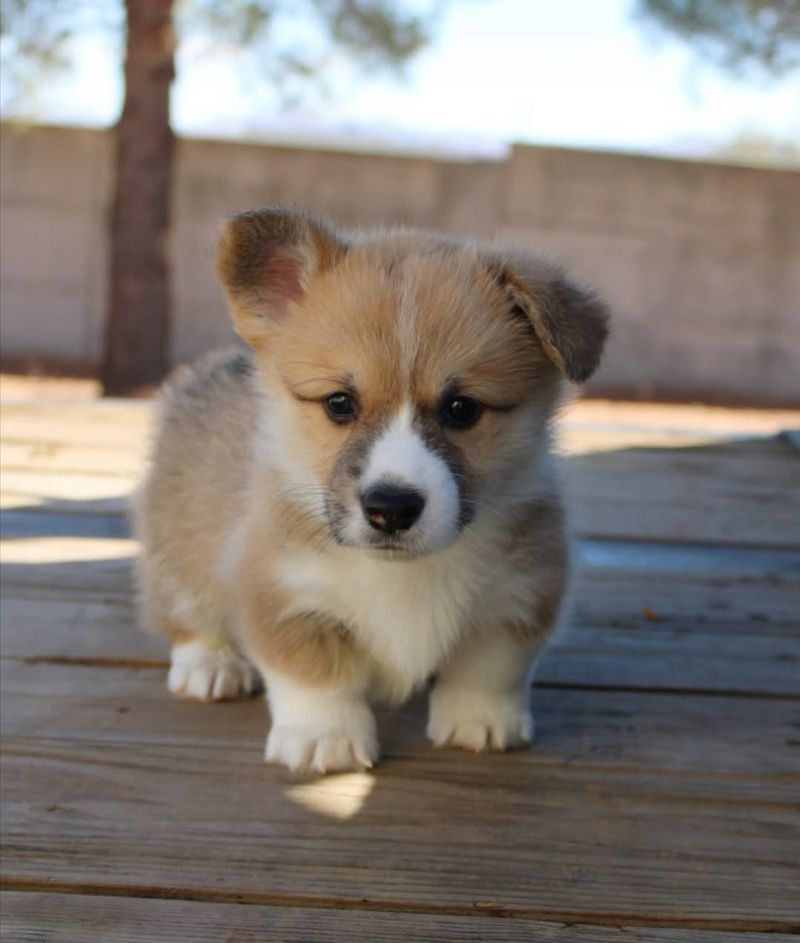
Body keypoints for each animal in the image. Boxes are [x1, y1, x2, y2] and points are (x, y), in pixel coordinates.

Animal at [134, 206, 608, 776]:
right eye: (339, 403)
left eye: (462, 409)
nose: (391, 509)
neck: (403, 573)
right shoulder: (283, 594)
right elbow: (315, 676)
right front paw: (325, 740)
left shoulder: (520, 594)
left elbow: (489, 668)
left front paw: (481, 723)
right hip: (177, 545)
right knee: (183, 608)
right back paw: (210, 664)